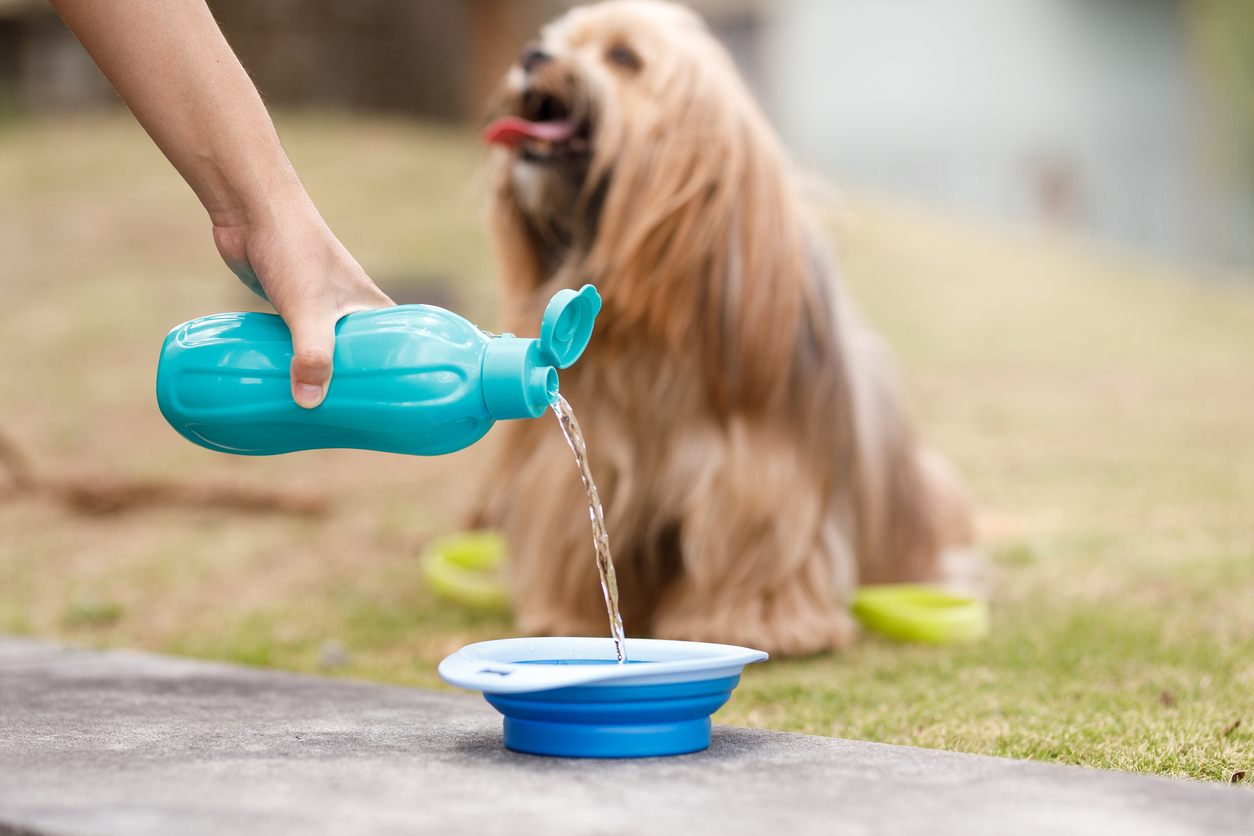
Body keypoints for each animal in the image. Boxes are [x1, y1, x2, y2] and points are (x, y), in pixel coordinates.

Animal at [474, 0, 973, 656]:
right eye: (553, 40)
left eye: (623, 57)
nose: (533, 55)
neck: (653, 322)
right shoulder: (589, 457)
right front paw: (569, 618)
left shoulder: (758, 473)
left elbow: (753, 540)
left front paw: (749, 622)